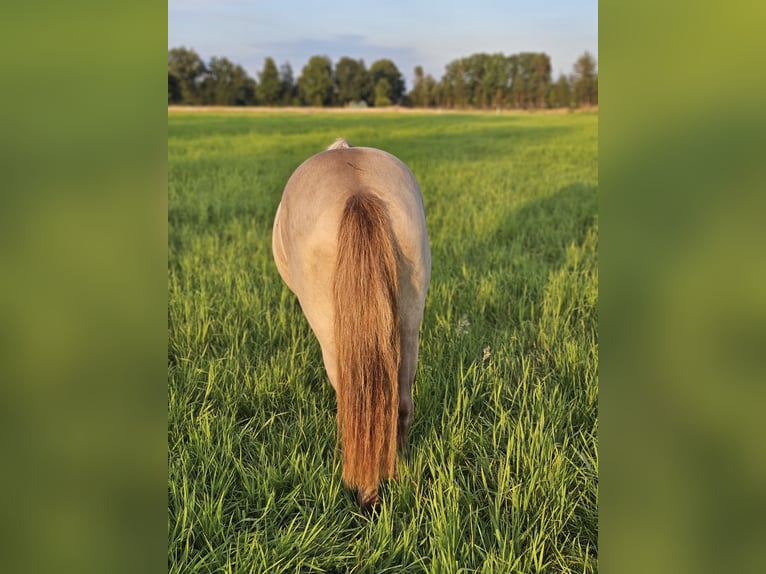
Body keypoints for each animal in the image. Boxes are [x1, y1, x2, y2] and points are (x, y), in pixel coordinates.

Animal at [272, 141, 432, 512]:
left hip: (332, 340)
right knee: (401, 403)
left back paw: (365, 491)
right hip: (409, 325)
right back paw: (396, 468)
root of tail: (358, 192)